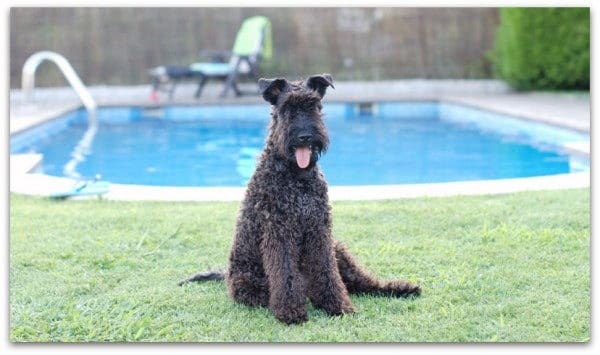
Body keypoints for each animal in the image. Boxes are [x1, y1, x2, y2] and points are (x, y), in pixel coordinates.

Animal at [180, 73, 420, 324]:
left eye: (314, 106)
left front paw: (337, 305)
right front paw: (291, 312)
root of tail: (227, 274)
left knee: (359, 282)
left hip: (338, 250)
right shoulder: (280, 233)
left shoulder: (320, 231)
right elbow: (286, 275)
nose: (305, 136)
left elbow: (326, 271)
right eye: (287, 108)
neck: (297, 176)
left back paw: (399, 289)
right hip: (249, 283)